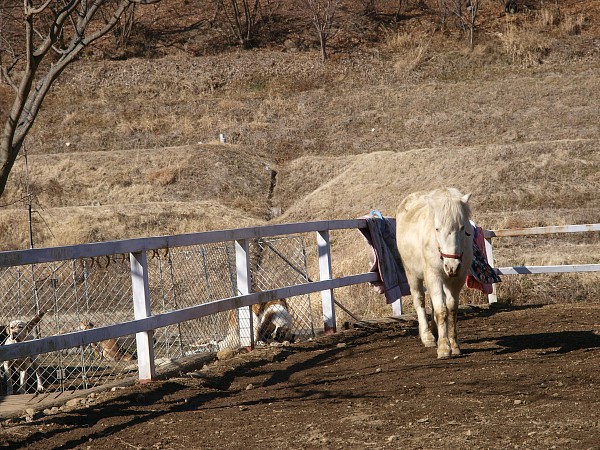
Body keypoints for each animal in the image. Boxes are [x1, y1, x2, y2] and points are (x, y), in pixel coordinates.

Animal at [396, 187, 476, 358]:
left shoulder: (457, 279)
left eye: (462, 228)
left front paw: (454, 344)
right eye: (437, 228)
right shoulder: (434, 276)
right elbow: (441, 310)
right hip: (412, 274)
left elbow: (451, 310)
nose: (452, 265)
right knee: (420, 301)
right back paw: (427, 336)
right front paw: (444, 347)